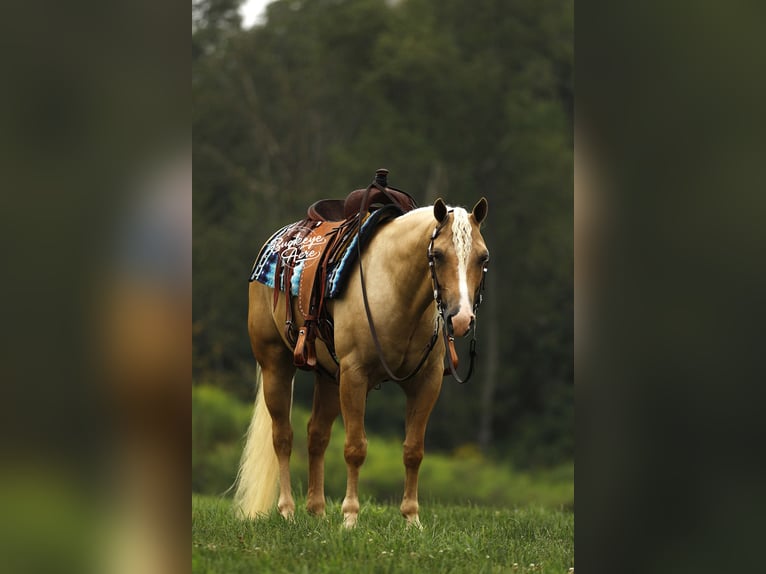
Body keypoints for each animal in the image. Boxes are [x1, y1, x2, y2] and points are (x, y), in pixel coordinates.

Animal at [235, 193, 489, 528]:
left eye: (483, 258)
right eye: (438, 254)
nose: (461, 320)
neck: (395, 288)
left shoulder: (426, 381)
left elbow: (413, 450)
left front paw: (412, 519)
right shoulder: (355, 376)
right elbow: (355, 448)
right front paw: (350, 517)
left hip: (329, 377)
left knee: (316, 435)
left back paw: (316, 510)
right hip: (276, 364)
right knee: (283, 437)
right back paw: (287, 510)